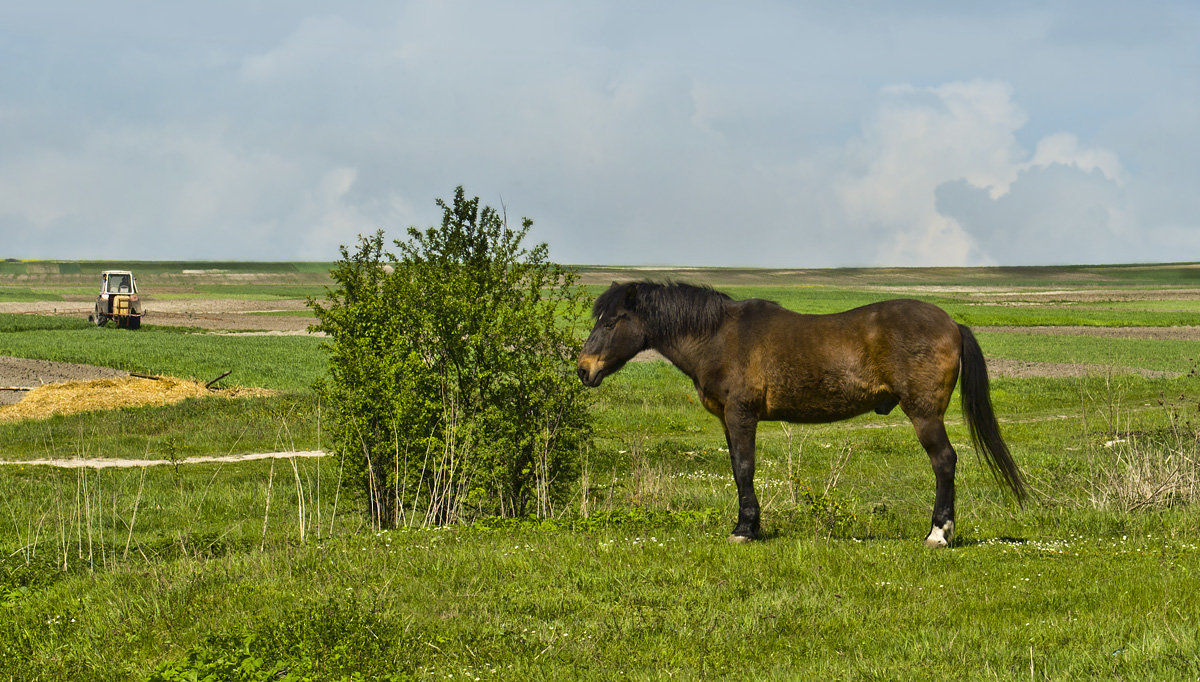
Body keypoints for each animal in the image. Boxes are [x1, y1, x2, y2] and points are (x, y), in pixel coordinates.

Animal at [576, 279, 1027, 545]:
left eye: (612, 321)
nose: (583, 369)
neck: (718, 337)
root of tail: (952, 323)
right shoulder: (727, 420)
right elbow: (738, 468)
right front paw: (749, 524)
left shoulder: (741, 415)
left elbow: (744, 468)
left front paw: (745, 529)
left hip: (925, 415)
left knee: (944, 462)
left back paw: (938, 533)